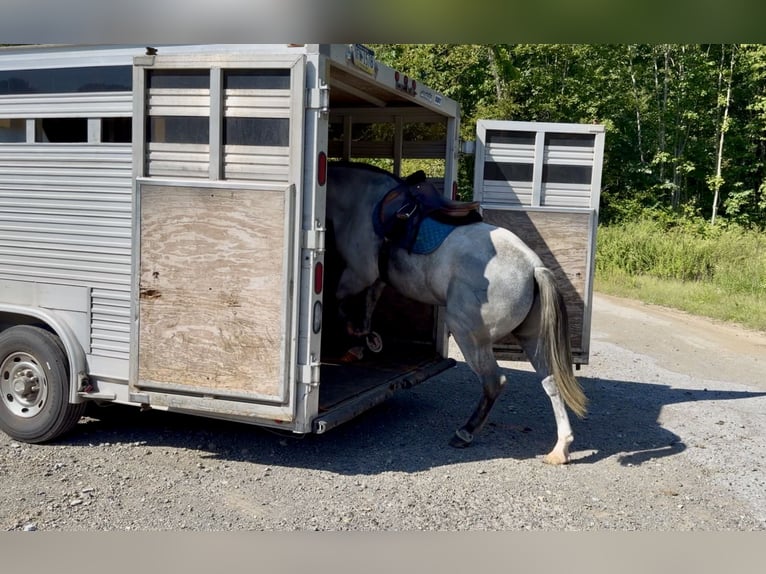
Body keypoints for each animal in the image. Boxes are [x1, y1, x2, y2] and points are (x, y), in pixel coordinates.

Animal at [325, 161, 587, 464]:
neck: (364, 200)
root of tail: (534, 267)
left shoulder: (358, 274)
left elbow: (339, 302)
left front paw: (354, 337)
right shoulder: (375, 279)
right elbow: (368, 304)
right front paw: (364, 340)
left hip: (468, 335)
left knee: (494, 382)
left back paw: (465, 432)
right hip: (532, 339)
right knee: (550, 382)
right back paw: (560, 448)